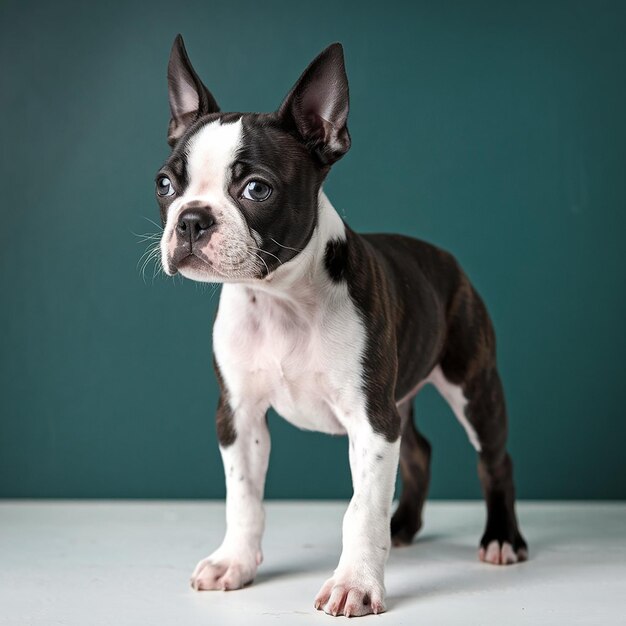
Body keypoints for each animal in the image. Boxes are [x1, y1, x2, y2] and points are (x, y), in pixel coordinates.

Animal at [156, 36, 528, 616]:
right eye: (166, 184)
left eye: (257, 190)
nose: (192, 219)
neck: (280, 299)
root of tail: (446, 259)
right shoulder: (239, 415)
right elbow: (244, 498)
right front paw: (234, 562)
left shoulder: (371, 421)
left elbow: (361, 510)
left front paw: (356, 582)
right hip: (402, 396)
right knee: (418, 451)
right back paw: (405, 526)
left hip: (473, 386)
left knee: (495, 460)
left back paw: (502, 539)